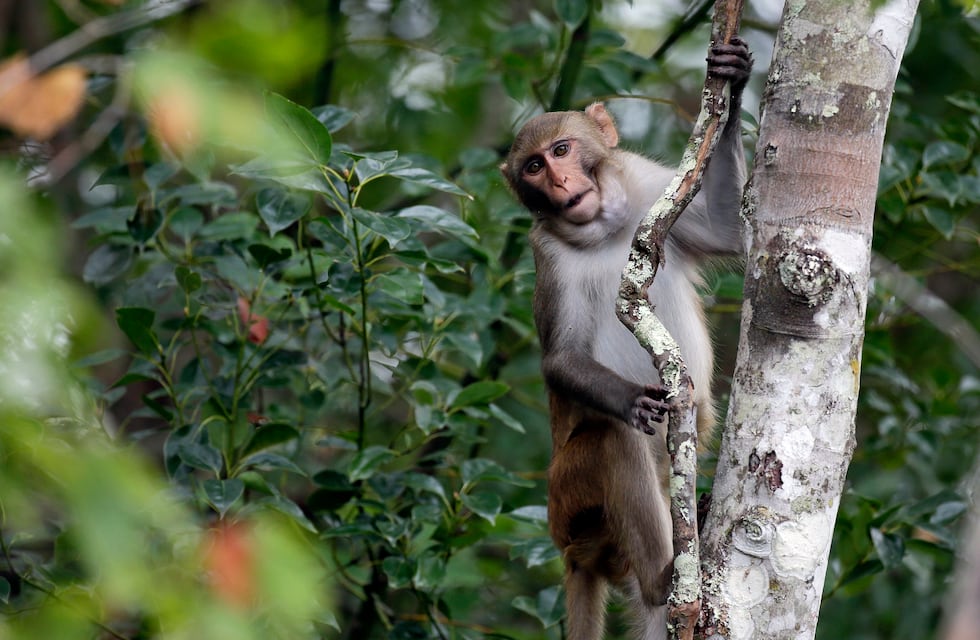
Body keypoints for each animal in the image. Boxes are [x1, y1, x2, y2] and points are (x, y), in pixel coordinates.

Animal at [500, 39, 752, 640]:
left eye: (562, 150)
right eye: (534, 167)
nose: (560, 184)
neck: (604, 228)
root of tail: (572, 552)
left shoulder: (646, 184)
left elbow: (729, 231)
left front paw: (733, 84)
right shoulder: (547, 254)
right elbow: (561, 358)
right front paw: (631, 399)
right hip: (569, 500)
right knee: (613, 441)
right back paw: (663, 577)